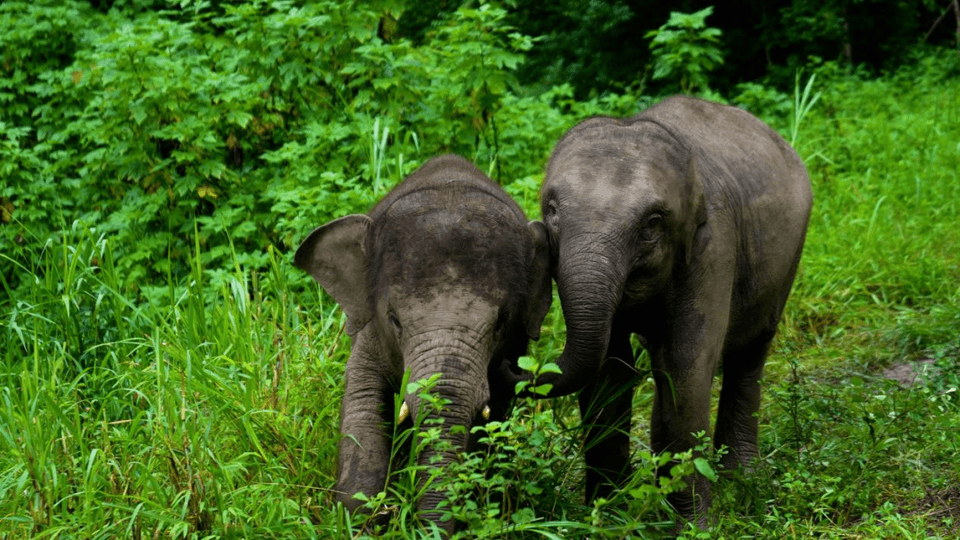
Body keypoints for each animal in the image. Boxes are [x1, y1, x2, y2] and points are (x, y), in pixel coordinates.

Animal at [294, 154, 552, 533]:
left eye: (501, 323)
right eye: (395, 320)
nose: (421, 527)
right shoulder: (370, 330)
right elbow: (364, 399)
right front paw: (361, 519)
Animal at [511, 95, 812, 525]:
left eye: (652, 223)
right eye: (552, 210)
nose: (518, 364)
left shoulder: (712, 247)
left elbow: (685, 365)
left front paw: (693, 526)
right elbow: (608, 370)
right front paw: (606, 514)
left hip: (788, 254)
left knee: (749, 351)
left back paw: (740, 481)